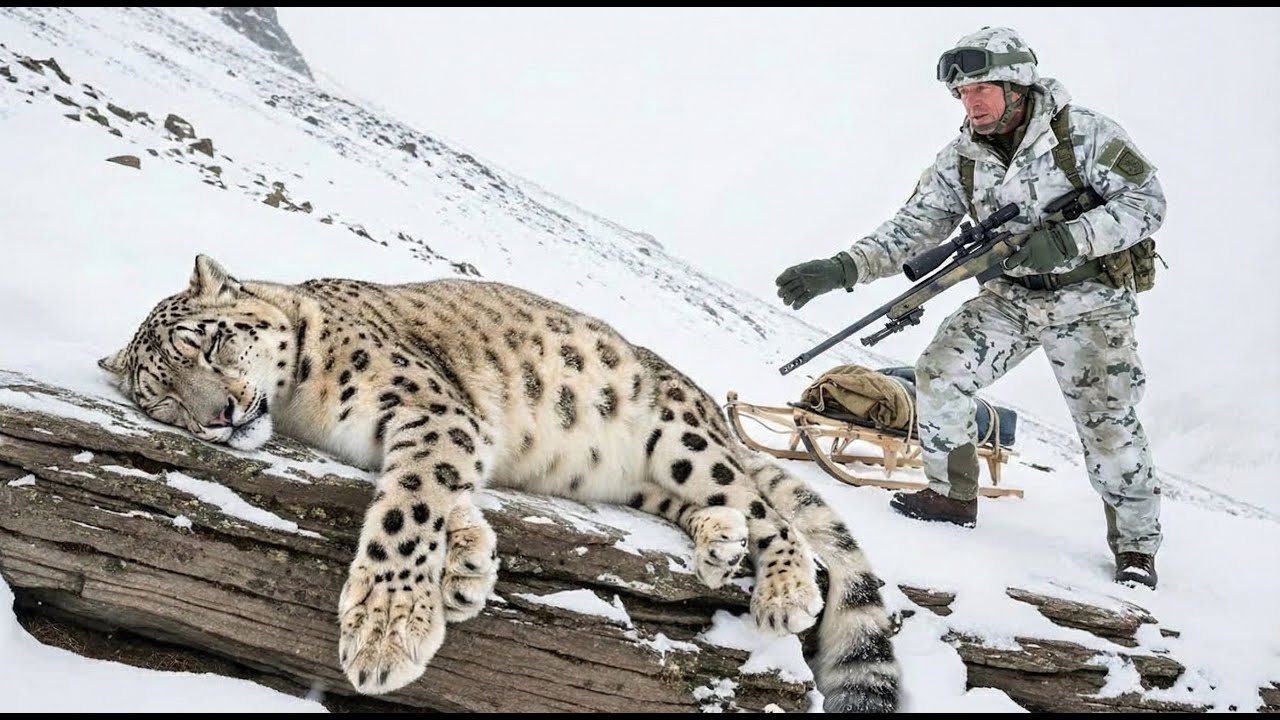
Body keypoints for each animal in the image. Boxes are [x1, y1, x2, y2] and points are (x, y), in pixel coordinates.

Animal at [98, 254, 900, 712]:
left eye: (208, 340)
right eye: (161, 398)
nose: (219, 415)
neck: (301, 408)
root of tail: (703, 400)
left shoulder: (429, 409)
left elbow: (406, 511)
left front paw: (387, 635)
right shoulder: (435, 438)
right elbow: (441, 500)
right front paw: (467, 567)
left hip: (684, 438)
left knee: (769, 508)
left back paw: (784, 590)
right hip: (645, 478)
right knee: (709, 503)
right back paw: (717, 542)